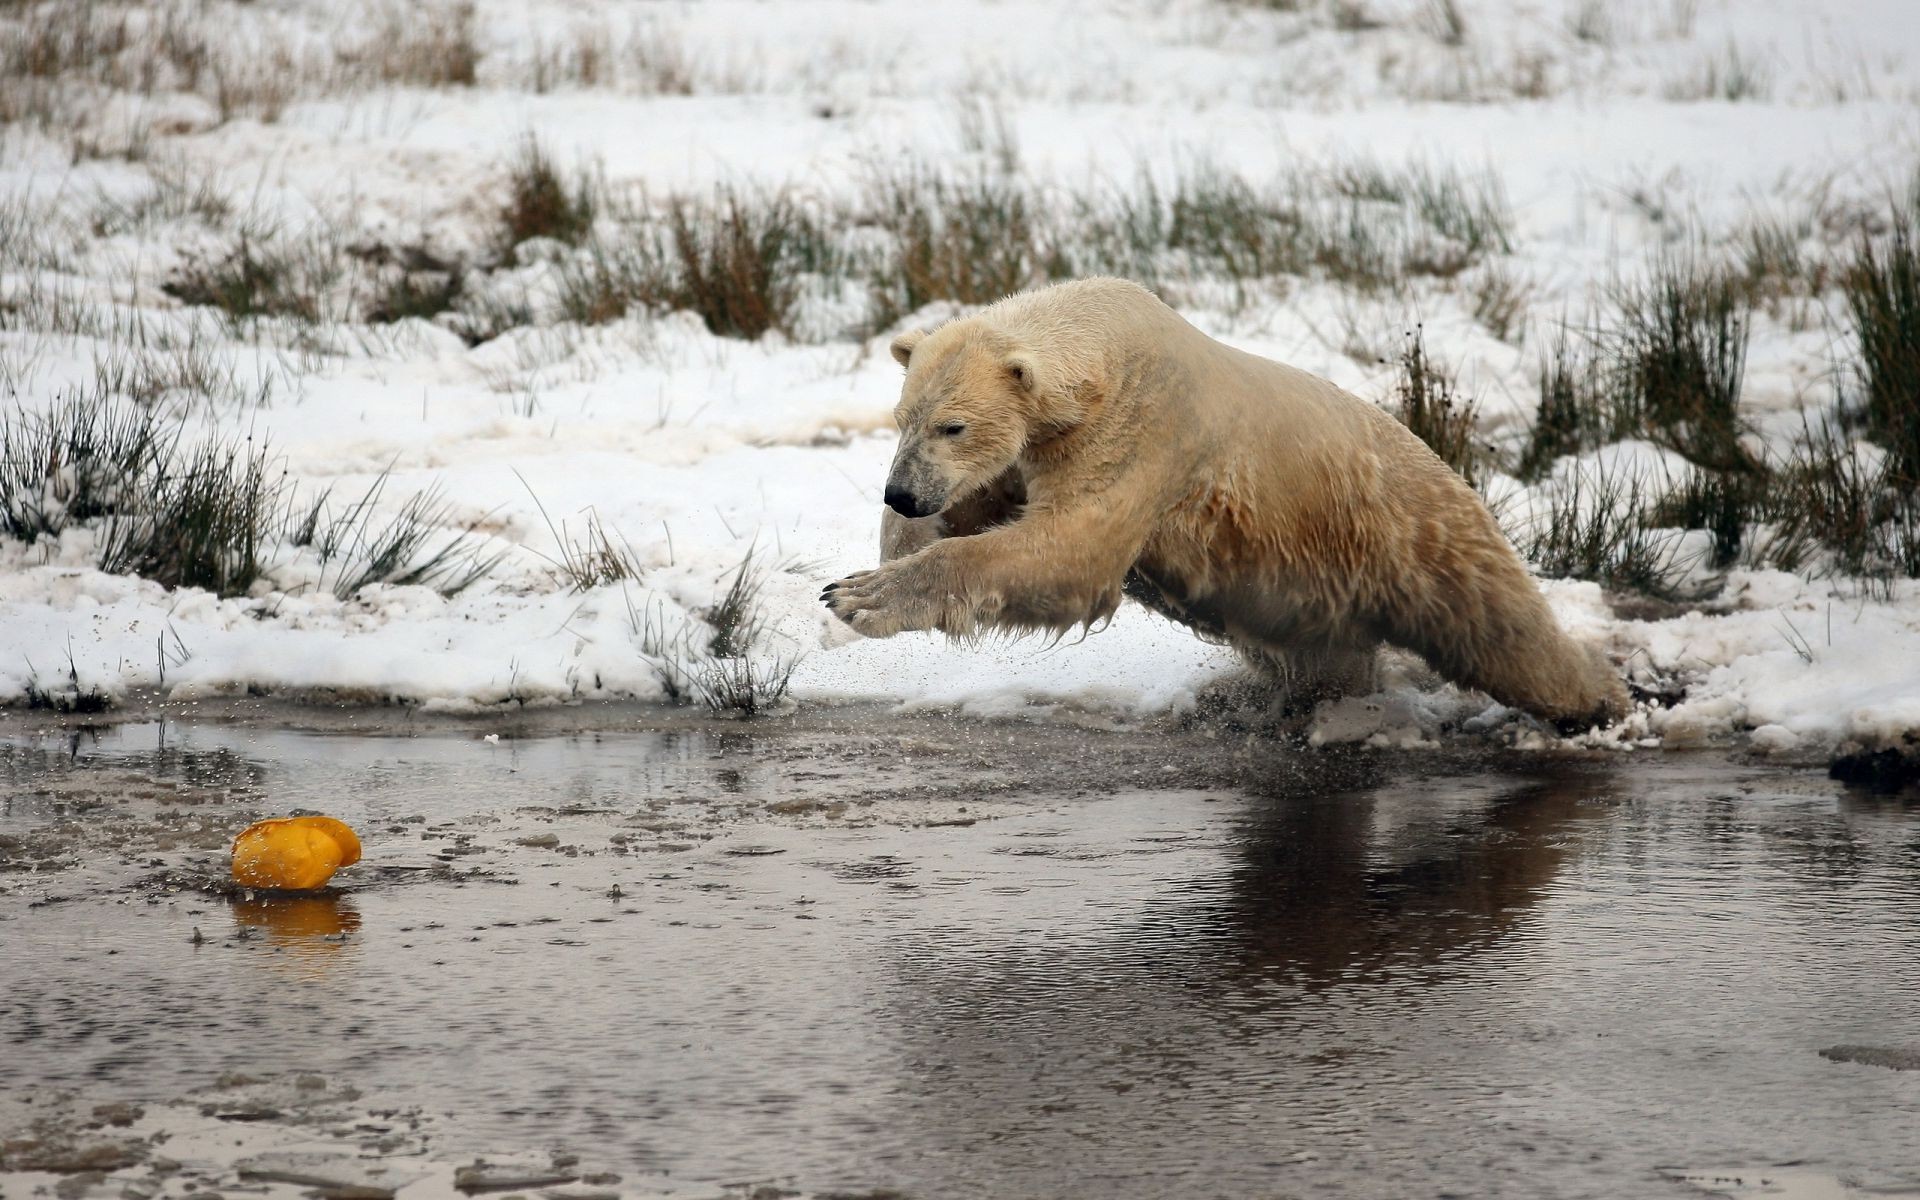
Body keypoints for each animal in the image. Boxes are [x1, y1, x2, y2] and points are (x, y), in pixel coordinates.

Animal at [817, 276, 1628, 725]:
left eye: (952, 425)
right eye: (903, 418)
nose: (904, 492)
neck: (1104, 344)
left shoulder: (1142, 431)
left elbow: (1071, 552)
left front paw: (858, 599)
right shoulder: (1040, 447)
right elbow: (989, 507)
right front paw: (873, 569)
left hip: (1416, 538)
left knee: (1503, 634)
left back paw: (1601, 702)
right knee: (1329, 660)